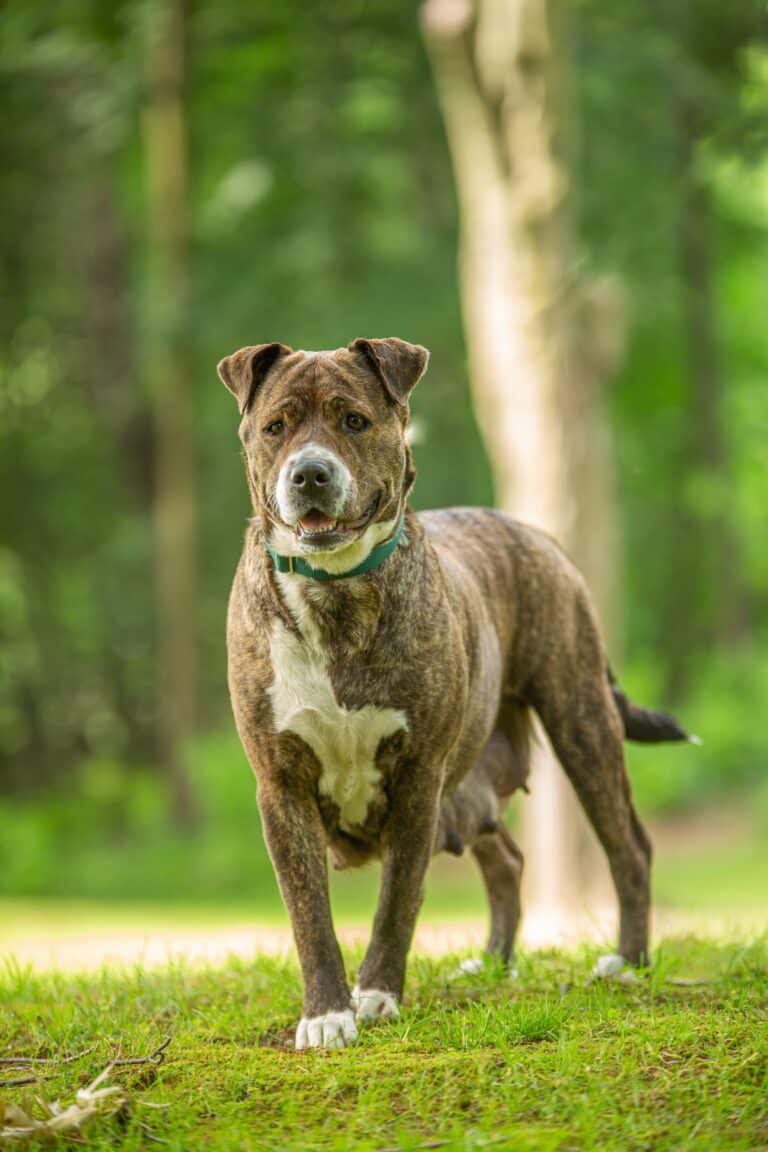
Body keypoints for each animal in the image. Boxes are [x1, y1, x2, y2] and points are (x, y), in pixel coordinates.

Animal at [217, 336, 690, 1050]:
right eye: (276, 426)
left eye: (354, 420)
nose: (310, 473)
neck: (337, 594)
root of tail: (537, 533)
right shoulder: (282, 785)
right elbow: (309, 913)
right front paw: (326, 1014)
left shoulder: (418, 777)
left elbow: (397, 899)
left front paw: (377, 995)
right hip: (473, 784)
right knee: (508, 859)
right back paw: (492, 963)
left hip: (580, 719)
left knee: (627, 846)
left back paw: (627, 962)